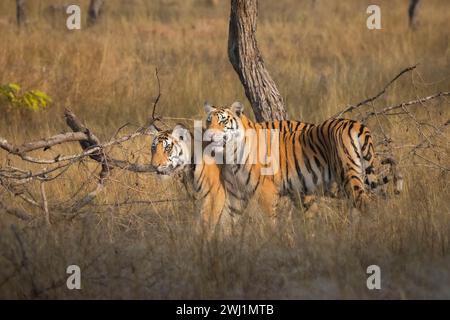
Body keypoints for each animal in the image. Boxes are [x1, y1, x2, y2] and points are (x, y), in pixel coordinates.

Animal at [203, 101, 400, 219]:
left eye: (223, 122)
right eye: (208, 121)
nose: (209, 135)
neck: (230, 154)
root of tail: (357, 124)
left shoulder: (266, 191)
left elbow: (268, 222)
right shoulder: (235, 194)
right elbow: (229, 223)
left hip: (348, 176)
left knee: (366, 203)